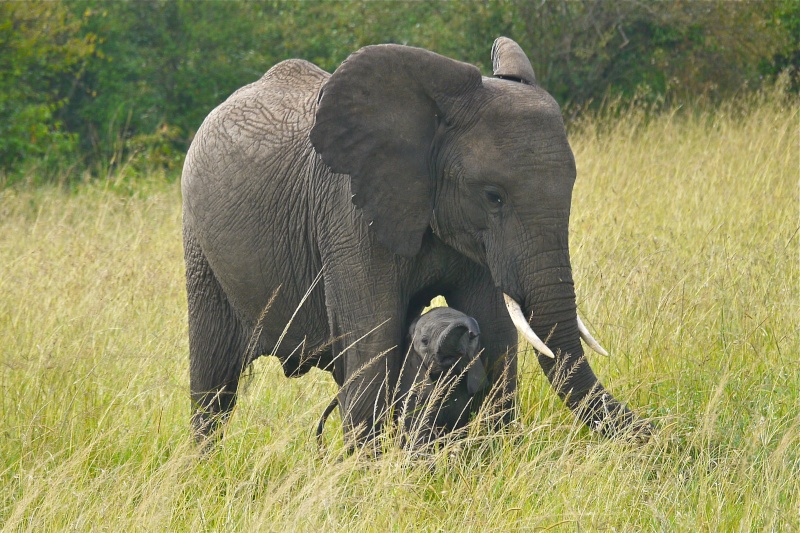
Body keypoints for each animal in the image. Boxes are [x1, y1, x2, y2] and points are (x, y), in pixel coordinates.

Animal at [183, 37, 648, 442]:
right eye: (493, 196)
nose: (660, 435)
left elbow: (497, 334)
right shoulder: (350, 217)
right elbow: (374, 342)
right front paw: (364, 476)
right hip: (199, 245)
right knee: (213, 382)